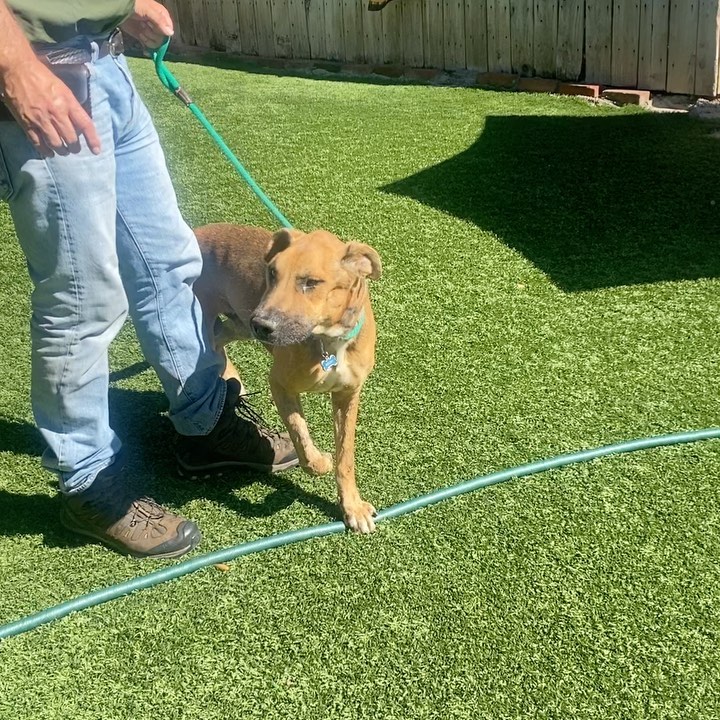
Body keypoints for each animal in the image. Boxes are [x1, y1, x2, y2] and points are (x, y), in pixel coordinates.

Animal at [191, 225, 382, 536]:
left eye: (311, 282)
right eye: (272, 272)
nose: (262, 323)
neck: (328, 342)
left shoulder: (349, 394)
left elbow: (346, 457)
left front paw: (352, 507)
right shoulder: (280, 384)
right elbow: (301, 437)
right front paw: (320, 460)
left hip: (238, 323)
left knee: (219, 341)